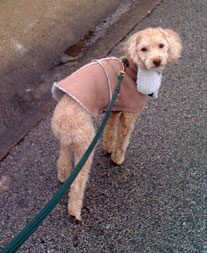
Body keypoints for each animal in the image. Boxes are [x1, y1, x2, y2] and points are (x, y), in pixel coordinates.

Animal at [51, 27, 182, 220]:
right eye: (143, 49)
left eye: (161, 45)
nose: (157, 61)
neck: (132, 69)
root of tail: (62, 120)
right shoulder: (129, 112)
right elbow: (123, 139)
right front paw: (117, 158)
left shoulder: (114, 108)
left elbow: (110, 131)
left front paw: (108, 149)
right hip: (85, 145)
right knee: (77, 183)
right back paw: (75, 212)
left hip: (68, 143)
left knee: (62, 163)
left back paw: (63, 178)